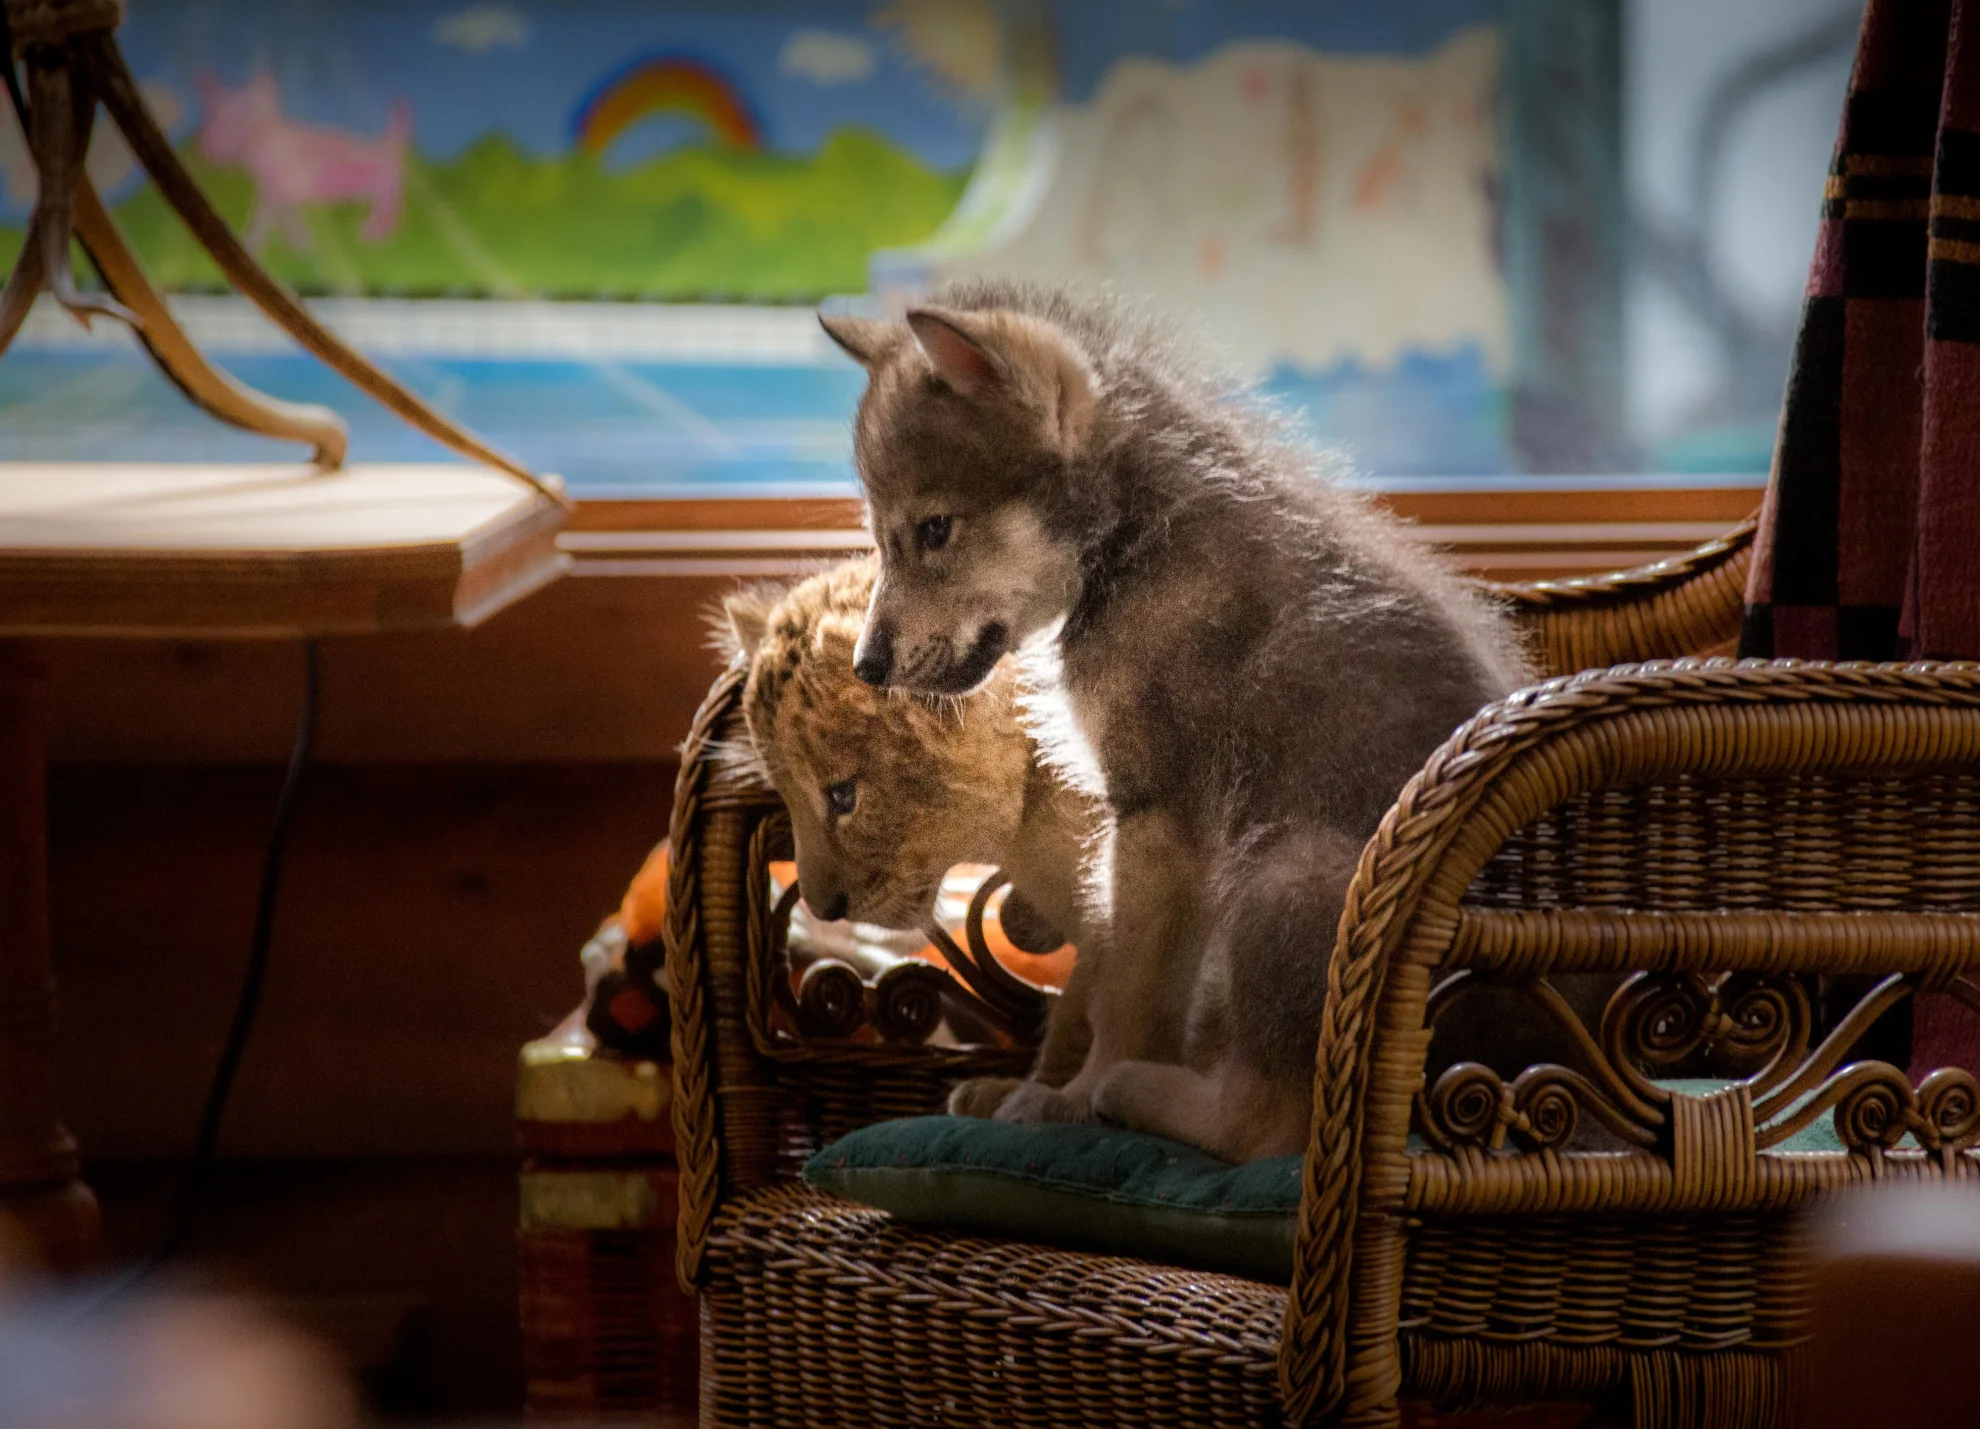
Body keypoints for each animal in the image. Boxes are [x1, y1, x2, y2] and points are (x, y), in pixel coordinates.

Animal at [820, 281, 1532, 1162]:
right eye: (882, 537)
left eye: (934, 530)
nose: (866, 666)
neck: (1132, 545)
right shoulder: (1130, 835)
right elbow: (1103, 983)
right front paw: (1021, 1093)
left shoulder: (1158, 822)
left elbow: (1127, 999)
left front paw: (1072, 1099)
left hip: (1283, 874)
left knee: (1267, 1127)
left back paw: (1139, 1094)